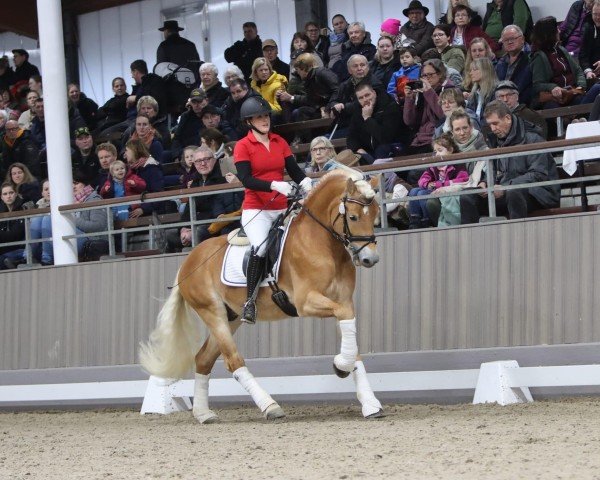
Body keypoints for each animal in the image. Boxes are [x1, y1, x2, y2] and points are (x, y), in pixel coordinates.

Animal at [140, 171, 382, 422]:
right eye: (353, 217)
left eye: (376, 215)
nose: (370, 259)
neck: (322, 243)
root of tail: (189, 260)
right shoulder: (306, 302)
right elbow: (343, 320)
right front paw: (341, 366)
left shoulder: (343, 301)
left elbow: (351, 334)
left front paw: (369, 402)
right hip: (211, 312)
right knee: (233, 360)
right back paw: (270, 406)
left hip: (231, 317)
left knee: (204, 359)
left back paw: (204, 413)